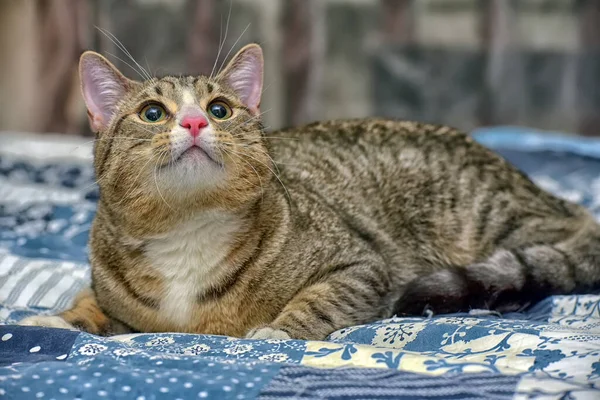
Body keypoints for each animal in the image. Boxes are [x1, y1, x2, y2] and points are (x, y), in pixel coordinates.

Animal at [18, 43, 600, 340]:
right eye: (153, 113)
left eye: (220, 109)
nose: (194, 123)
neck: (187, 233)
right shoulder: (110, 292)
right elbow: (90, 305)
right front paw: (56, 318)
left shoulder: (361, 266)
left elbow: (317, 303)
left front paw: (275, 332)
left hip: (491, 219)